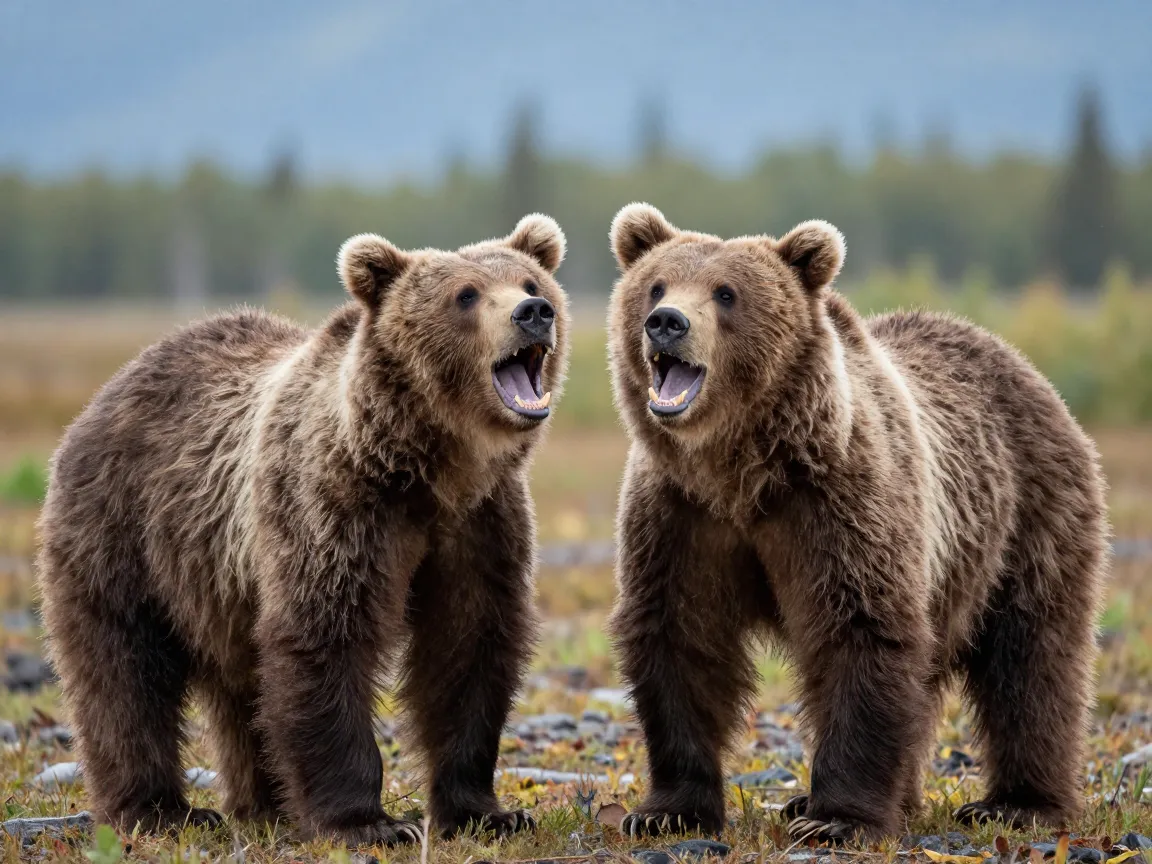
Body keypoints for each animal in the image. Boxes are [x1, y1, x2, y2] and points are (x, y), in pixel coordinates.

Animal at [36, 215, 569, 846]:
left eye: (530, 280)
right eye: (465, 295)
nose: (534, 312)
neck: (432, 470)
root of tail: (106, 392)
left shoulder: (480, 524)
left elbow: (469, 645)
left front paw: (486, 812)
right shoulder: (336, 505)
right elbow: (325, 634)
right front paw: (368, 822)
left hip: (220, 582)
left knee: (241, 687)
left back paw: (264, 804)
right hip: (123, 532)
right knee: (123, 672)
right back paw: (159, 809)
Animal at [604, 203, 1108, 843]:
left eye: (725, 293)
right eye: (656, 286)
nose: (666, 323)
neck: (740, 472)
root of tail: (1018, 362)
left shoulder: (839, 501)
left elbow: (860, 629)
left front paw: (835, 819)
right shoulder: (680, 515)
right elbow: (680, 635)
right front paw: (669, 810)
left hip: (1029, 516)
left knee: (1032, 657)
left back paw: (1018, 804)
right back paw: (902, 799)